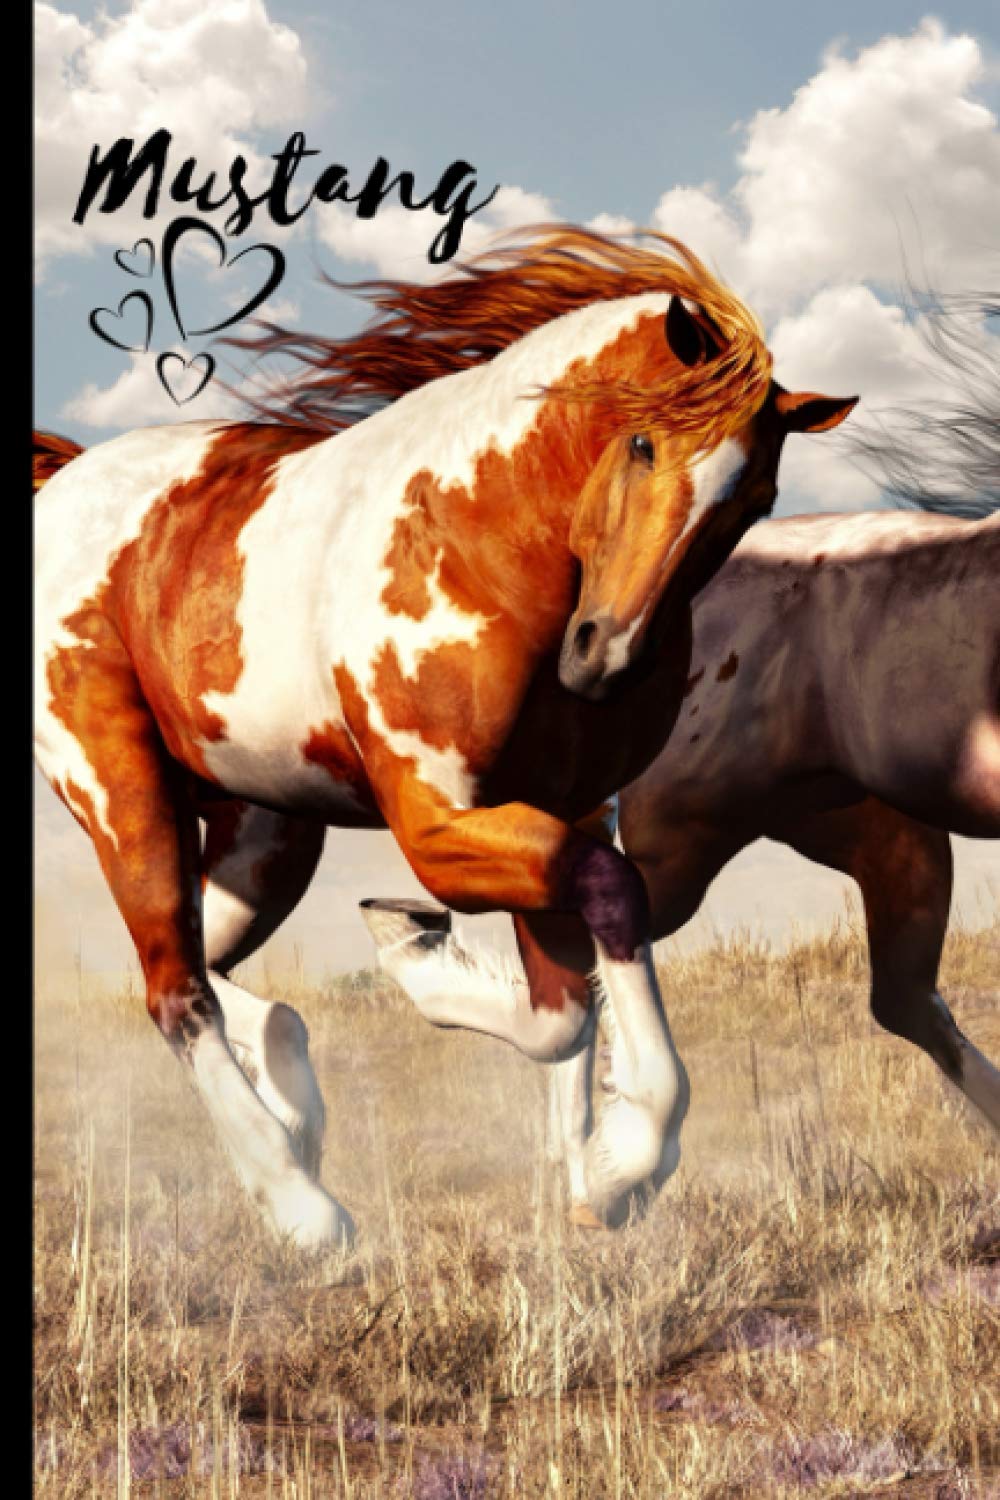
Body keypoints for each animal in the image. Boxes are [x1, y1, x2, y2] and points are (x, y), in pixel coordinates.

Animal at [34, 226, 856, 1246]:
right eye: (643, 443)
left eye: (759, 499)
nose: (605, 658)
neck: (477, 542)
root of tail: (64, 482)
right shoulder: (436, 825)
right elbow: (609, 899)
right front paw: (627, 1164)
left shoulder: (566, 808)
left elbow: (565, 1008)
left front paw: (591, 1170)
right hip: (122, 791)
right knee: (174, 992)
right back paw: (303, 1208)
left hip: (264, 836)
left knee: (196, 969)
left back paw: (296, 1107)